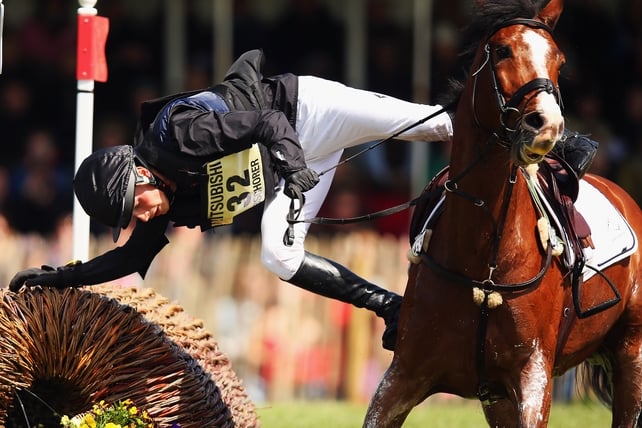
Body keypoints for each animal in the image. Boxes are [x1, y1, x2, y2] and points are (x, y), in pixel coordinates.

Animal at [364, 0, 642, 427]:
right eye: (502, 51)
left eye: (559, 59)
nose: (546, 124)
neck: (484, 257)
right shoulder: (402, 377)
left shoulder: (533, 379)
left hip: (632, 356)